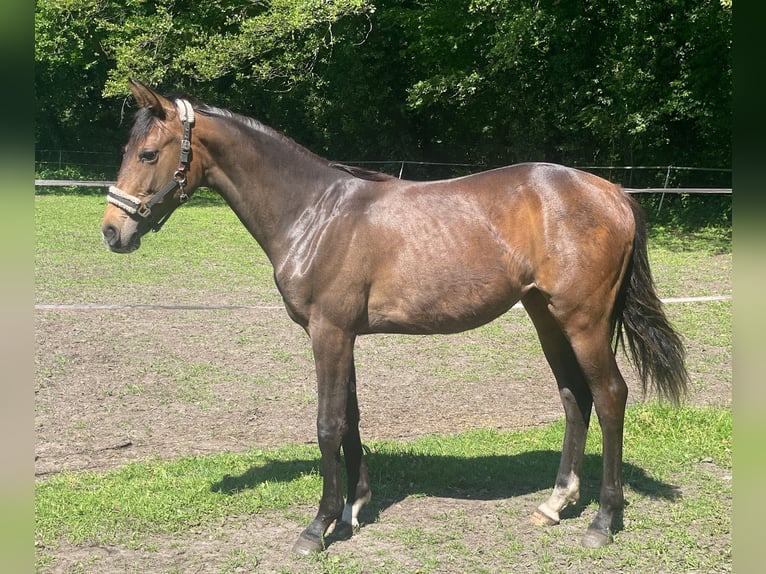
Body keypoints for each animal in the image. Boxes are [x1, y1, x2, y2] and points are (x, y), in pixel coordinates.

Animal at [100, 79, 688, 556]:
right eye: (127, 149)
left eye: (148, 153)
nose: (112, 231)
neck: (315, 212)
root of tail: (612, 192)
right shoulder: (343, 335)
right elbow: (352, 417)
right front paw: (353, 509)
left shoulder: (328, 333)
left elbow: (328, 424)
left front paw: (316, 528)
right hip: (546, 316)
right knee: (574, 396)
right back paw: (555, 503)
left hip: (583, 320)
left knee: (610, 396)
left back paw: (602, 520)